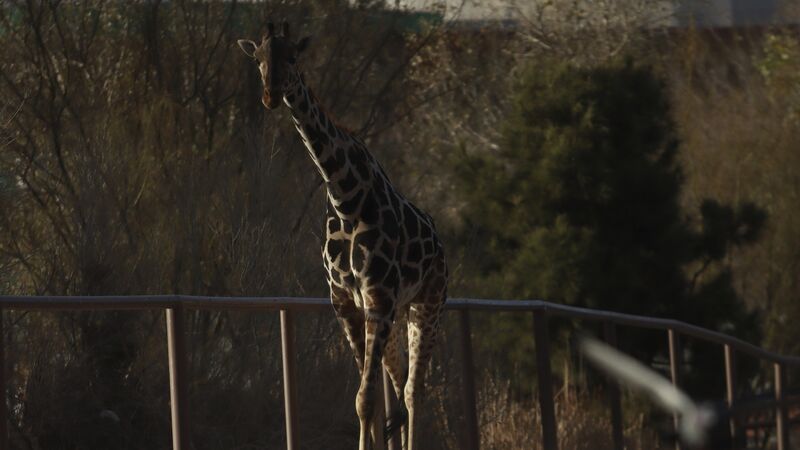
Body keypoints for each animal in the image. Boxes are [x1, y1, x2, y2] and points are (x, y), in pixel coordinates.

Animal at [238, 22, 447, 450]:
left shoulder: (378, 299)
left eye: (293, 56)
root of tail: (439, 242)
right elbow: (366, 400)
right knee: (398, 386)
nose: (270, 96)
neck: (345, 198)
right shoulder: (346, 301)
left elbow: (366, 398)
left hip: (427, 302)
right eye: (258, 58)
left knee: (413, 391)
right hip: (397, 313)